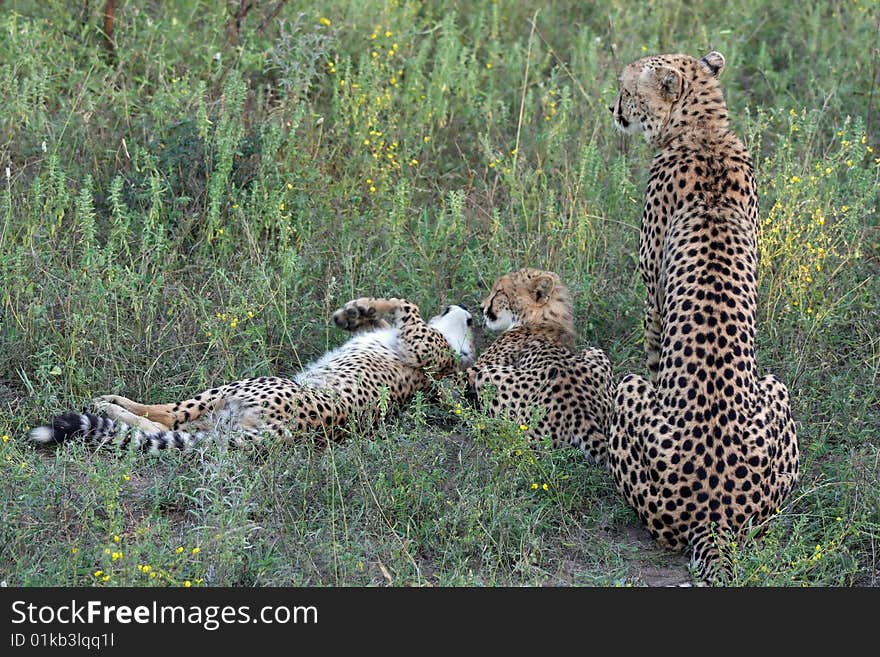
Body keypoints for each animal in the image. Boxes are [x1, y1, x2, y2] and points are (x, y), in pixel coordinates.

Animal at [29, 298, 474, 452]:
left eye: (473, 324)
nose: (468, 310)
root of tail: (295, 432)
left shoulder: (423, 350)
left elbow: (407, 306)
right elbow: (392, 311)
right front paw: (356, 311)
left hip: (241, 387)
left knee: (164, 417)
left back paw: (112, 404)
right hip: (220, 419)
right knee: (168, 426)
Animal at [468, 266, 612, 462]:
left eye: (499, 292)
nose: (481, 307)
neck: (542, 318)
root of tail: (582, 412)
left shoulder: (475, 371)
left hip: (488, 377)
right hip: (596, 351)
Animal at [608, 51, 800, 580]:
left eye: (626, 89)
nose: (612, 108)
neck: (701, 132)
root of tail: (712, 516)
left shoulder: (653, 298)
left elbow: (654, 348)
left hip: (630, 392)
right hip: (776, 398)